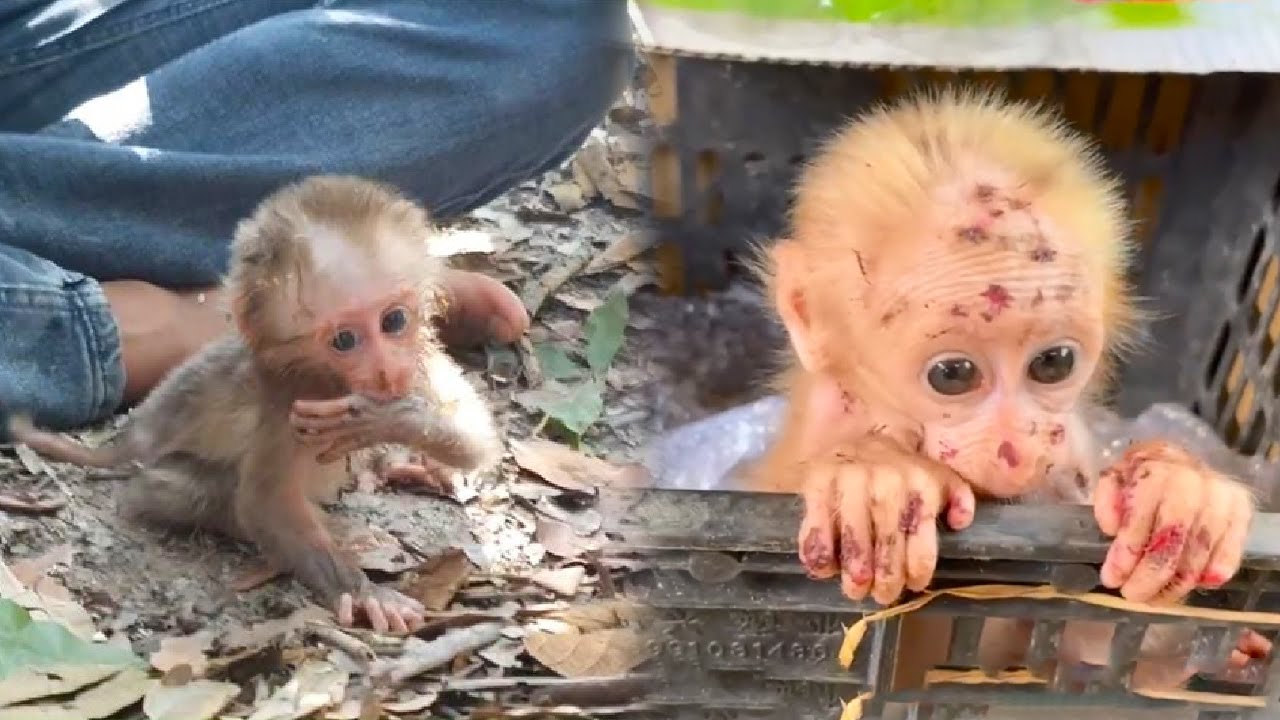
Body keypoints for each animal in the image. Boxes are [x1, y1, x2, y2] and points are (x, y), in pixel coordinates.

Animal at [7, 175, 504, 634]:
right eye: (345, 340)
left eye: (394, 320)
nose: (385, 373)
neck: (328, 377)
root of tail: (135, 433)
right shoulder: (289, 397)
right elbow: (266, 502)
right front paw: (364, 592)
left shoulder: (419, 359)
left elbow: (477, 442)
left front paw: (380, 419)